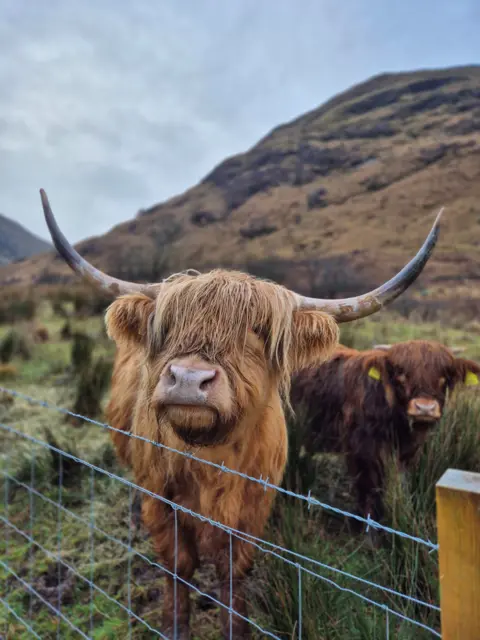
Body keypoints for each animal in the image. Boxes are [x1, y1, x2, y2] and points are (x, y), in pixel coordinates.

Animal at [39, 189, 444, 640]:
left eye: (256, 331)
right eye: (168, 327)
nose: (188, 379)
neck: (209, 463)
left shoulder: (255, 503)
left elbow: (233, 570)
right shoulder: (159, 498)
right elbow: (178, 566)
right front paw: (176, 626)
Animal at [290, 340, 478, 524]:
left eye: (444, 379)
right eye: (401, 377)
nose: (425, 408)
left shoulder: (407, 454)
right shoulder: (362, 452)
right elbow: (369, 490)